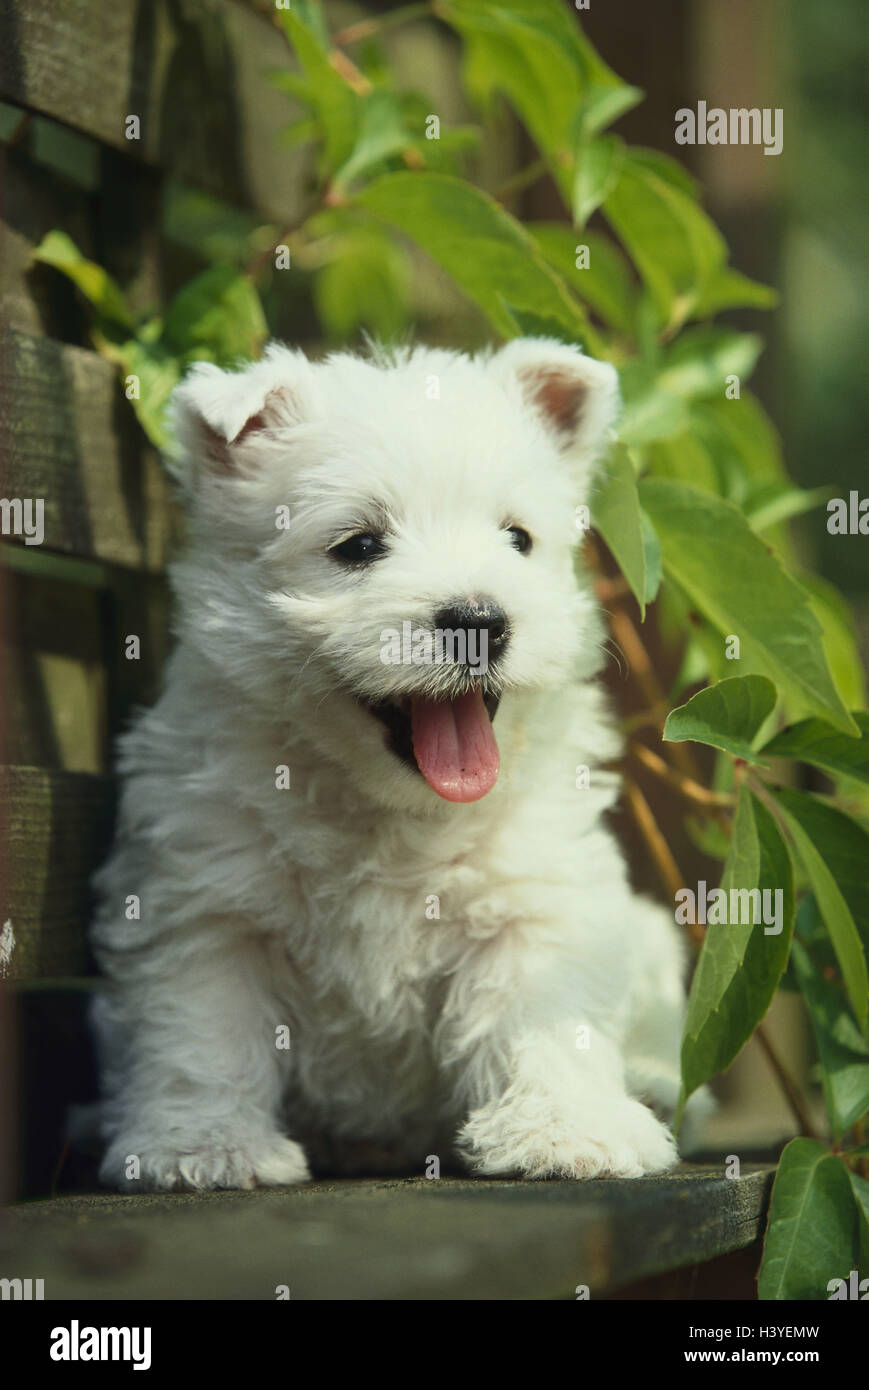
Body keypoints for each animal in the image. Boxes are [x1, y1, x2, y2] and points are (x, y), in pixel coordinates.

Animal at [88, 330, 700, 1189]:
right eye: (358, 546)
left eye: (517, 538)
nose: (479, 619)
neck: (390, 810)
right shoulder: (205, 902)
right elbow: (203, 1031)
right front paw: (204, 1146)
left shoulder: (529, 897)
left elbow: (544, 1013)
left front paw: (565, 1129)